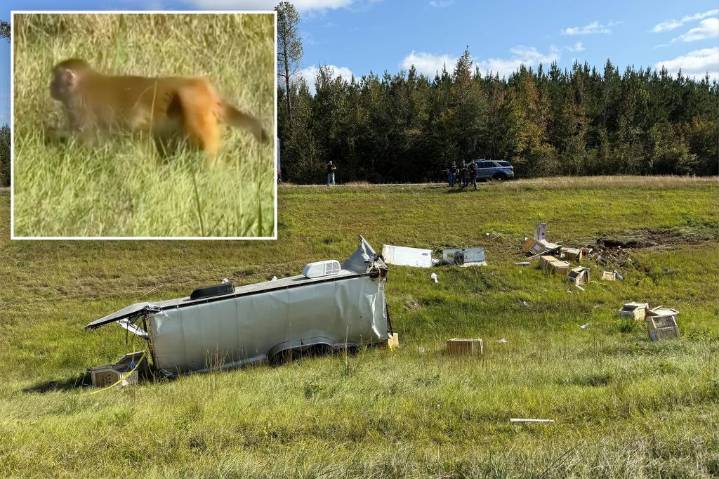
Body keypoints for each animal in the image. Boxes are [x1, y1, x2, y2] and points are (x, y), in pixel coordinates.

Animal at [48, 58, 269, 160]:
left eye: (55, 78)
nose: (50, 86)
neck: (83, 84)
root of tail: (206, 90)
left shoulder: (78, 107)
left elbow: (86, 140)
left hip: (195, 104)